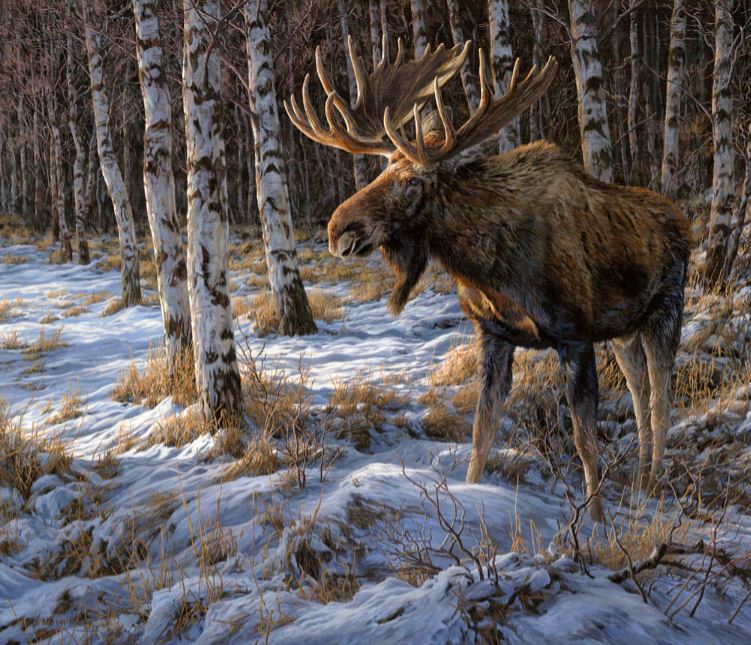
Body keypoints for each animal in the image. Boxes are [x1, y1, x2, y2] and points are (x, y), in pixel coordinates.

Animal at [284, 37, 692, 520]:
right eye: (382, 172)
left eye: (413, 182)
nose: (337, 229)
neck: (492, 271)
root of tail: (685, 223)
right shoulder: (493, 335)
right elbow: (481, 435)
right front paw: (472, 494)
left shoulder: (574, 336)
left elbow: (584, 441)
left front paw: (594, 520)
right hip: (623, 331)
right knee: (640, 391)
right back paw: (642, 480)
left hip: (666, 310)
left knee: (662, 399)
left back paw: (655, 482)